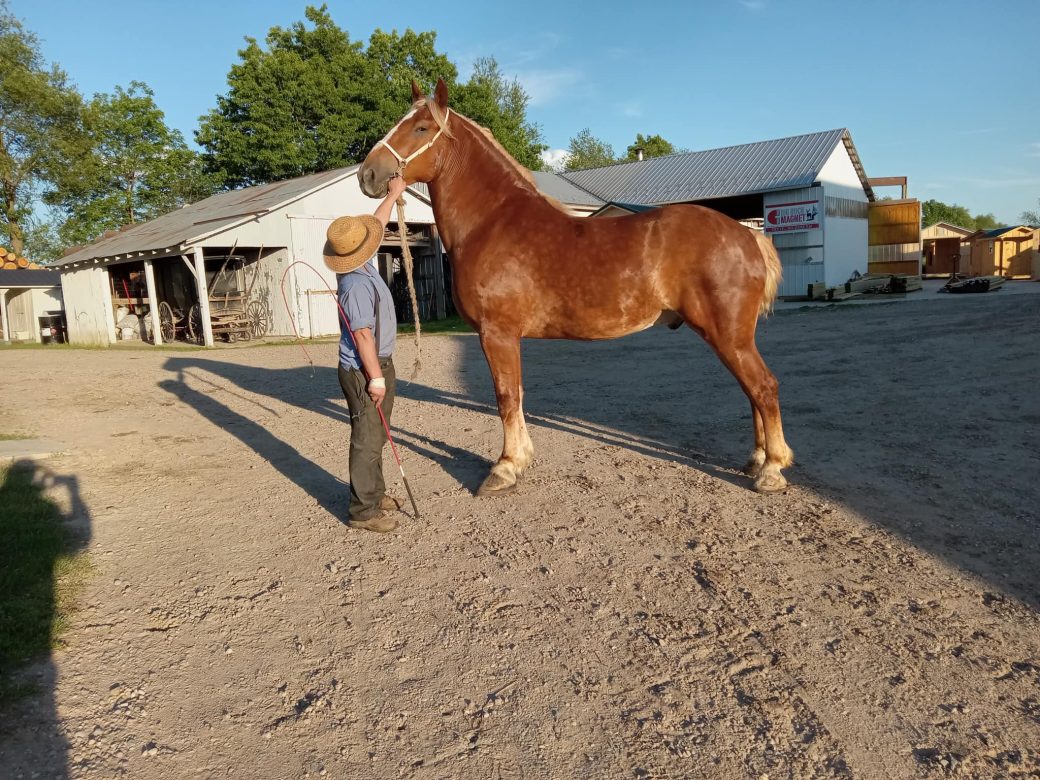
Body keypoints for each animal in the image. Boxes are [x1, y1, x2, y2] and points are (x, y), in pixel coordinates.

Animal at [361, 79, 790, 495]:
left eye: (421, 128)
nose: (367, 174)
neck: (491, 222)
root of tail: (747, 235)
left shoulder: (496, 333)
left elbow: (506, 396)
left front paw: (505, 468)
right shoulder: (505, 337)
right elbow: (517, 394)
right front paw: (521, 458)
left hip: (727, 335)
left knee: (763, 386)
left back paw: (771, 470)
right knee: (752, 390)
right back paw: (757, 460)